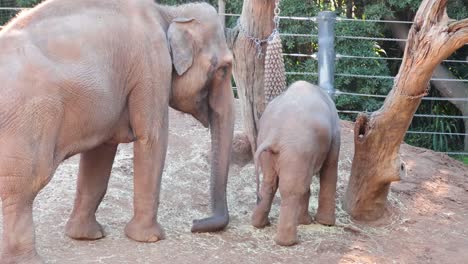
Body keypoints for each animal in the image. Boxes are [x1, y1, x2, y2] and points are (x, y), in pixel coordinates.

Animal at [0, 0, 234, 262]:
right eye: (224, 69)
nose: (195, 223)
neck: (169, 13)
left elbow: (101, 152)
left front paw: (87, 236)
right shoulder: (151, 66)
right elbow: (152, 138)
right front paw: (150, 238)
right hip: (27, 118)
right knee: (23, 185)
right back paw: (27, 259)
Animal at [252, 80, 340, 245]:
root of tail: (275, 133)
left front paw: (305, 222)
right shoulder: (335, 134)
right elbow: (330, 167)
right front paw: (326, 223)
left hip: (269, 146)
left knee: (269, 182)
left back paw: (259, 224)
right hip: (296, 150)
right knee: (292, 189)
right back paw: (287, 242)